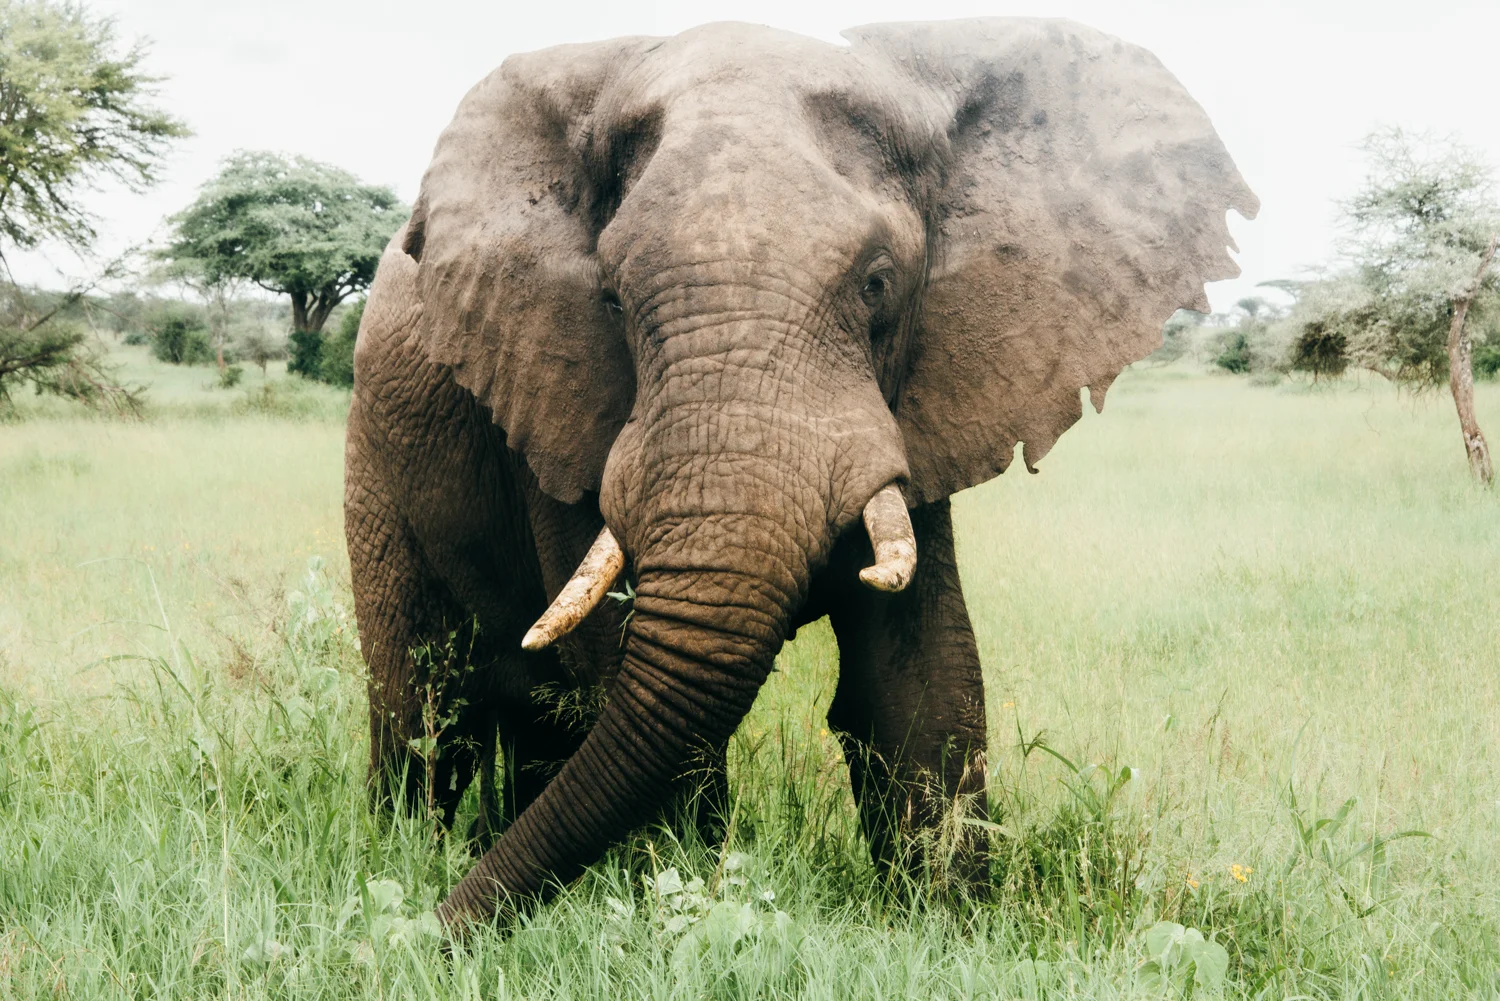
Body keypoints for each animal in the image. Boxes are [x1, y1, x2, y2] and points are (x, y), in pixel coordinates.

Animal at [343, 17, 1256, 928]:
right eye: (609, 299)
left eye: (878, 283)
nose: (428, 935)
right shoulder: (558, 404)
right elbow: (618, 664)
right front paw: (674, 905)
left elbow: (922, 677)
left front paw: (948, 925)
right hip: (374, 456)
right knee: (425, 703)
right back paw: (409, 850)